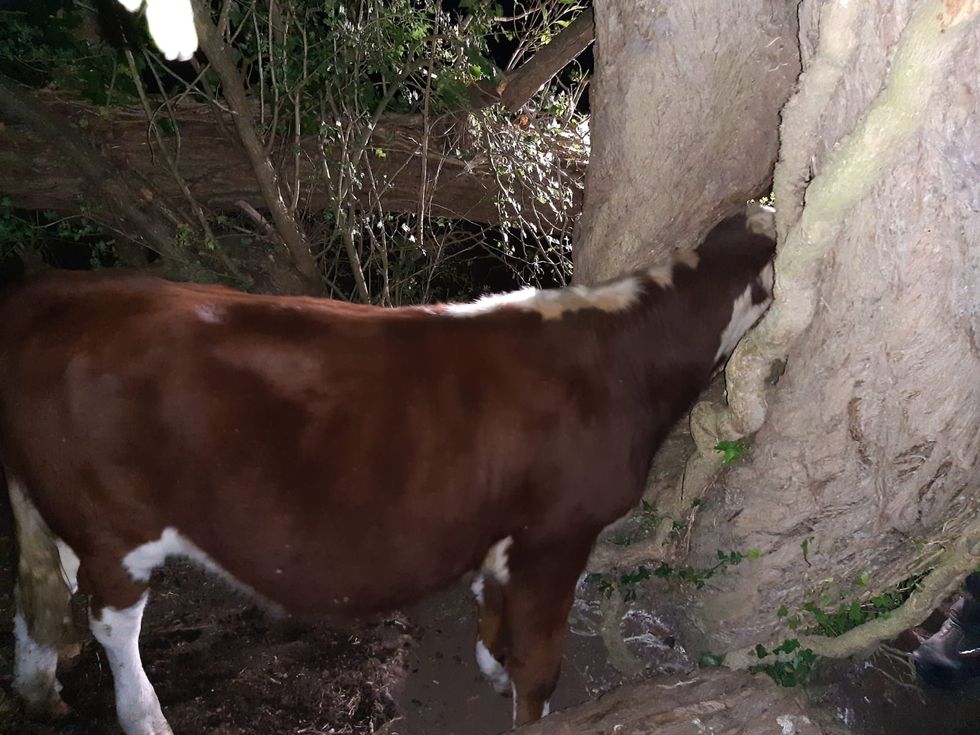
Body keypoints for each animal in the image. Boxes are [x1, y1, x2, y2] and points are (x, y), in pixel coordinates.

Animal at [0, 214, 774, 734]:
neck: (622, 359)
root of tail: (50, 292)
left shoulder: (505, 530)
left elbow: (493, 609)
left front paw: (490, 666)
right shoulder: (559, 531)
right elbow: (539, 657)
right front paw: (528, 706)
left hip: (53, 508)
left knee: (37, 595)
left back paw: (39, 692)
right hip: (114, 523)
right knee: (110, 621)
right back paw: (145, 716)